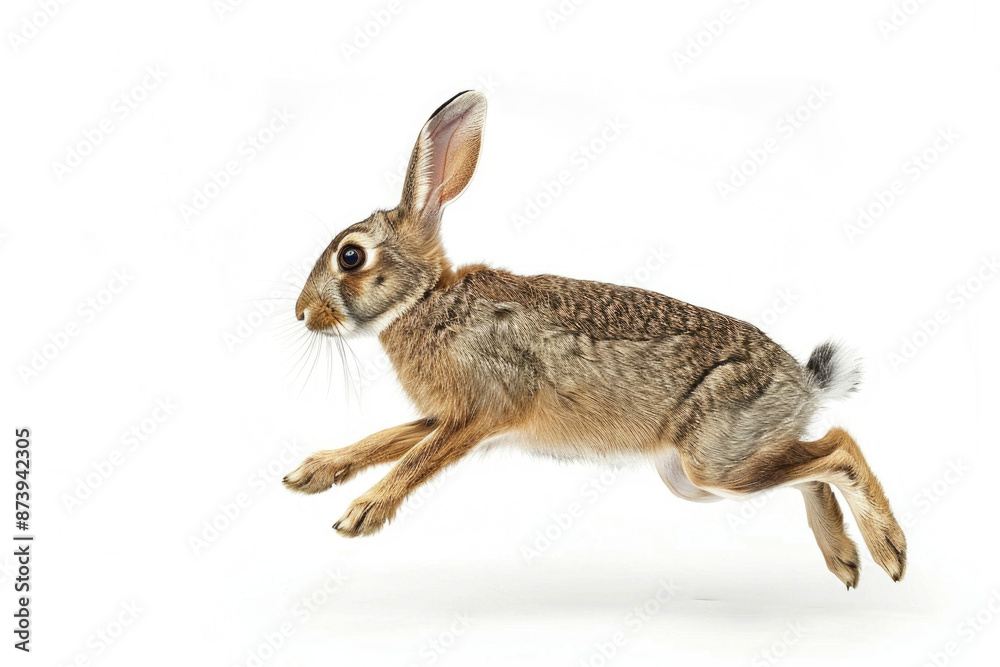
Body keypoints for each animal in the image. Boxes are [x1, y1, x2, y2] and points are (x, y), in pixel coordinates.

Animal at [283, 90, 906, 589]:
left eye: (351, 256)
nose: (302, 313)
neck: (426, 301)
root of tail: (805, 383)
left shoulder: (480, 414)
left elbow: (415, 459)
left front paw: (361, 513)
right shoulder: (446, 416)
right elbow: (384, 439)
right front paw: (312, 474)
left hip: (714, 458)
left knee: (840, 447)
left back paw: (889, 552)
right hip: (695, 478)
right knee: (811, 469)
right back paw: (845, 560)